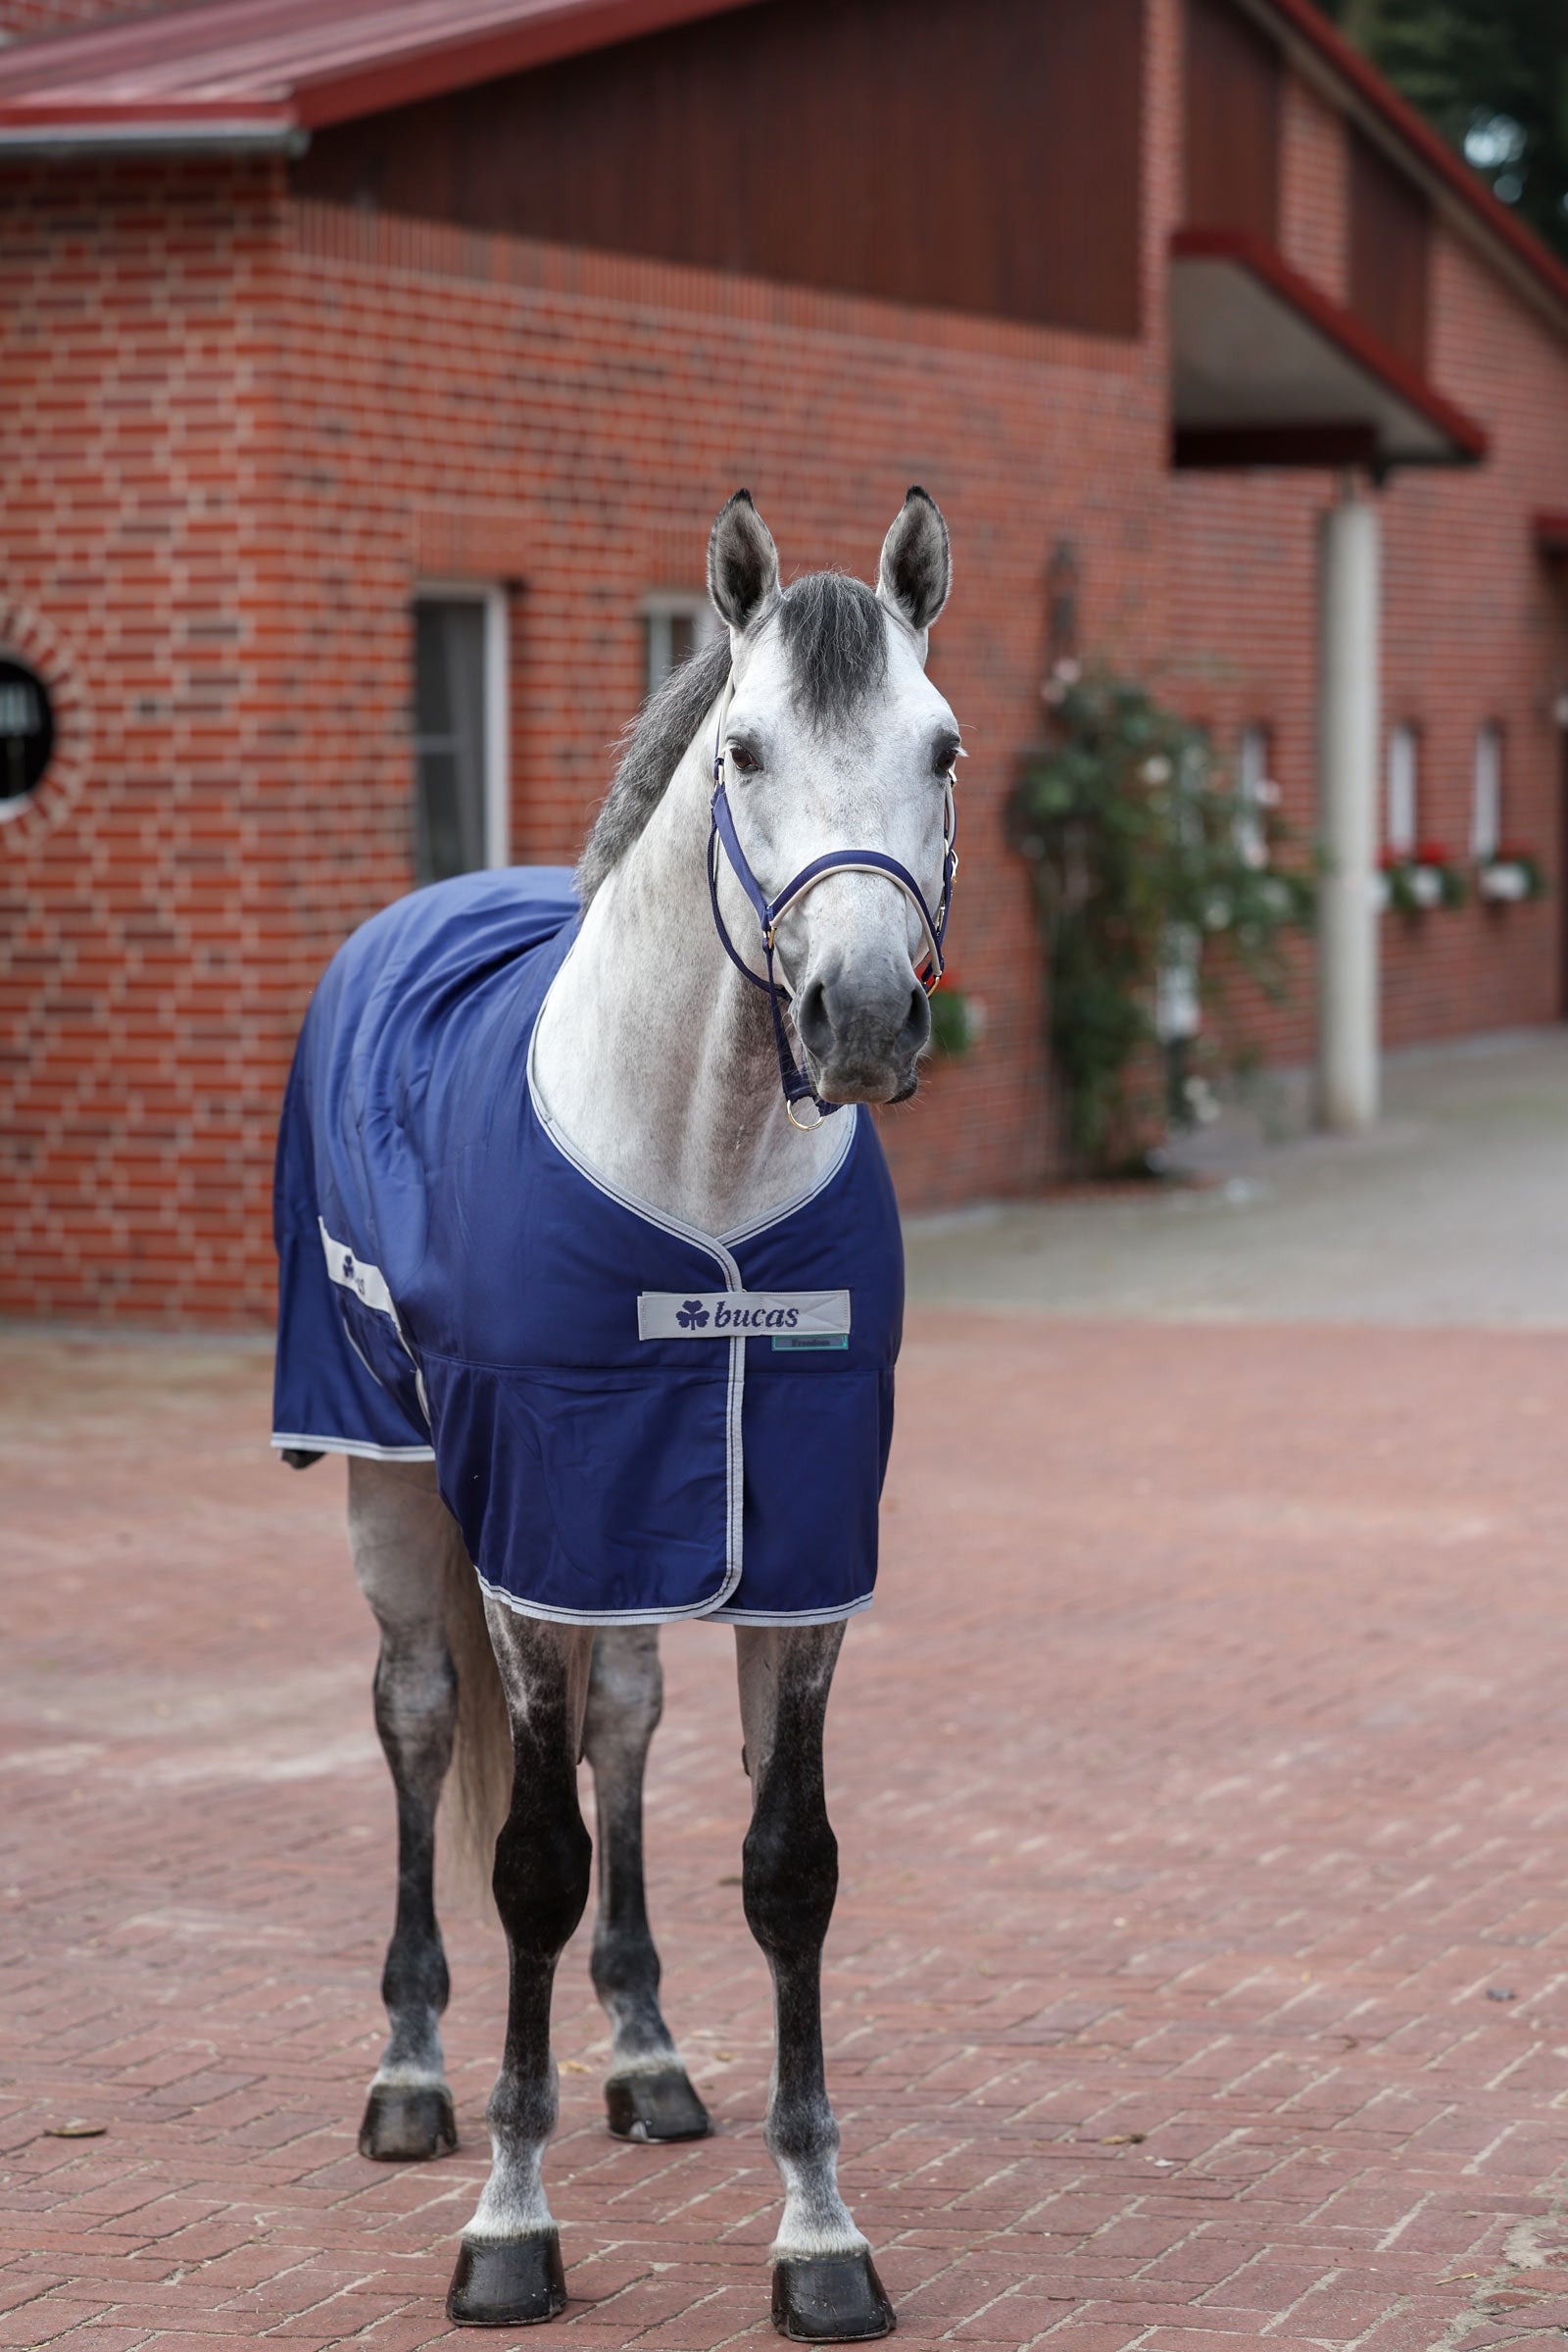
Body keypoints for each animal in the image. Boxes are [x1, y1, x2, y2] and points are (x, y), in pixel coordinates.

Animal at [270, 488, 960, 2340]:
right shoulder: (537, 1543)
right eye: (743, 749)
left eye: (941, 749)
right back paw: (414, 2075)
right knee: (416, 1720)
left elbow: (788, 1867)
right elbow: (530, 1859)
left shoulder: (792, 1553)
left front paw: (821, 2238)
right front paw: (510, 2224)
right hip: (389, 1484)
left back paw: (644, 2054)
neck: (696, 1172)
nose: (864, 1015)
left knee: (631, 1731)